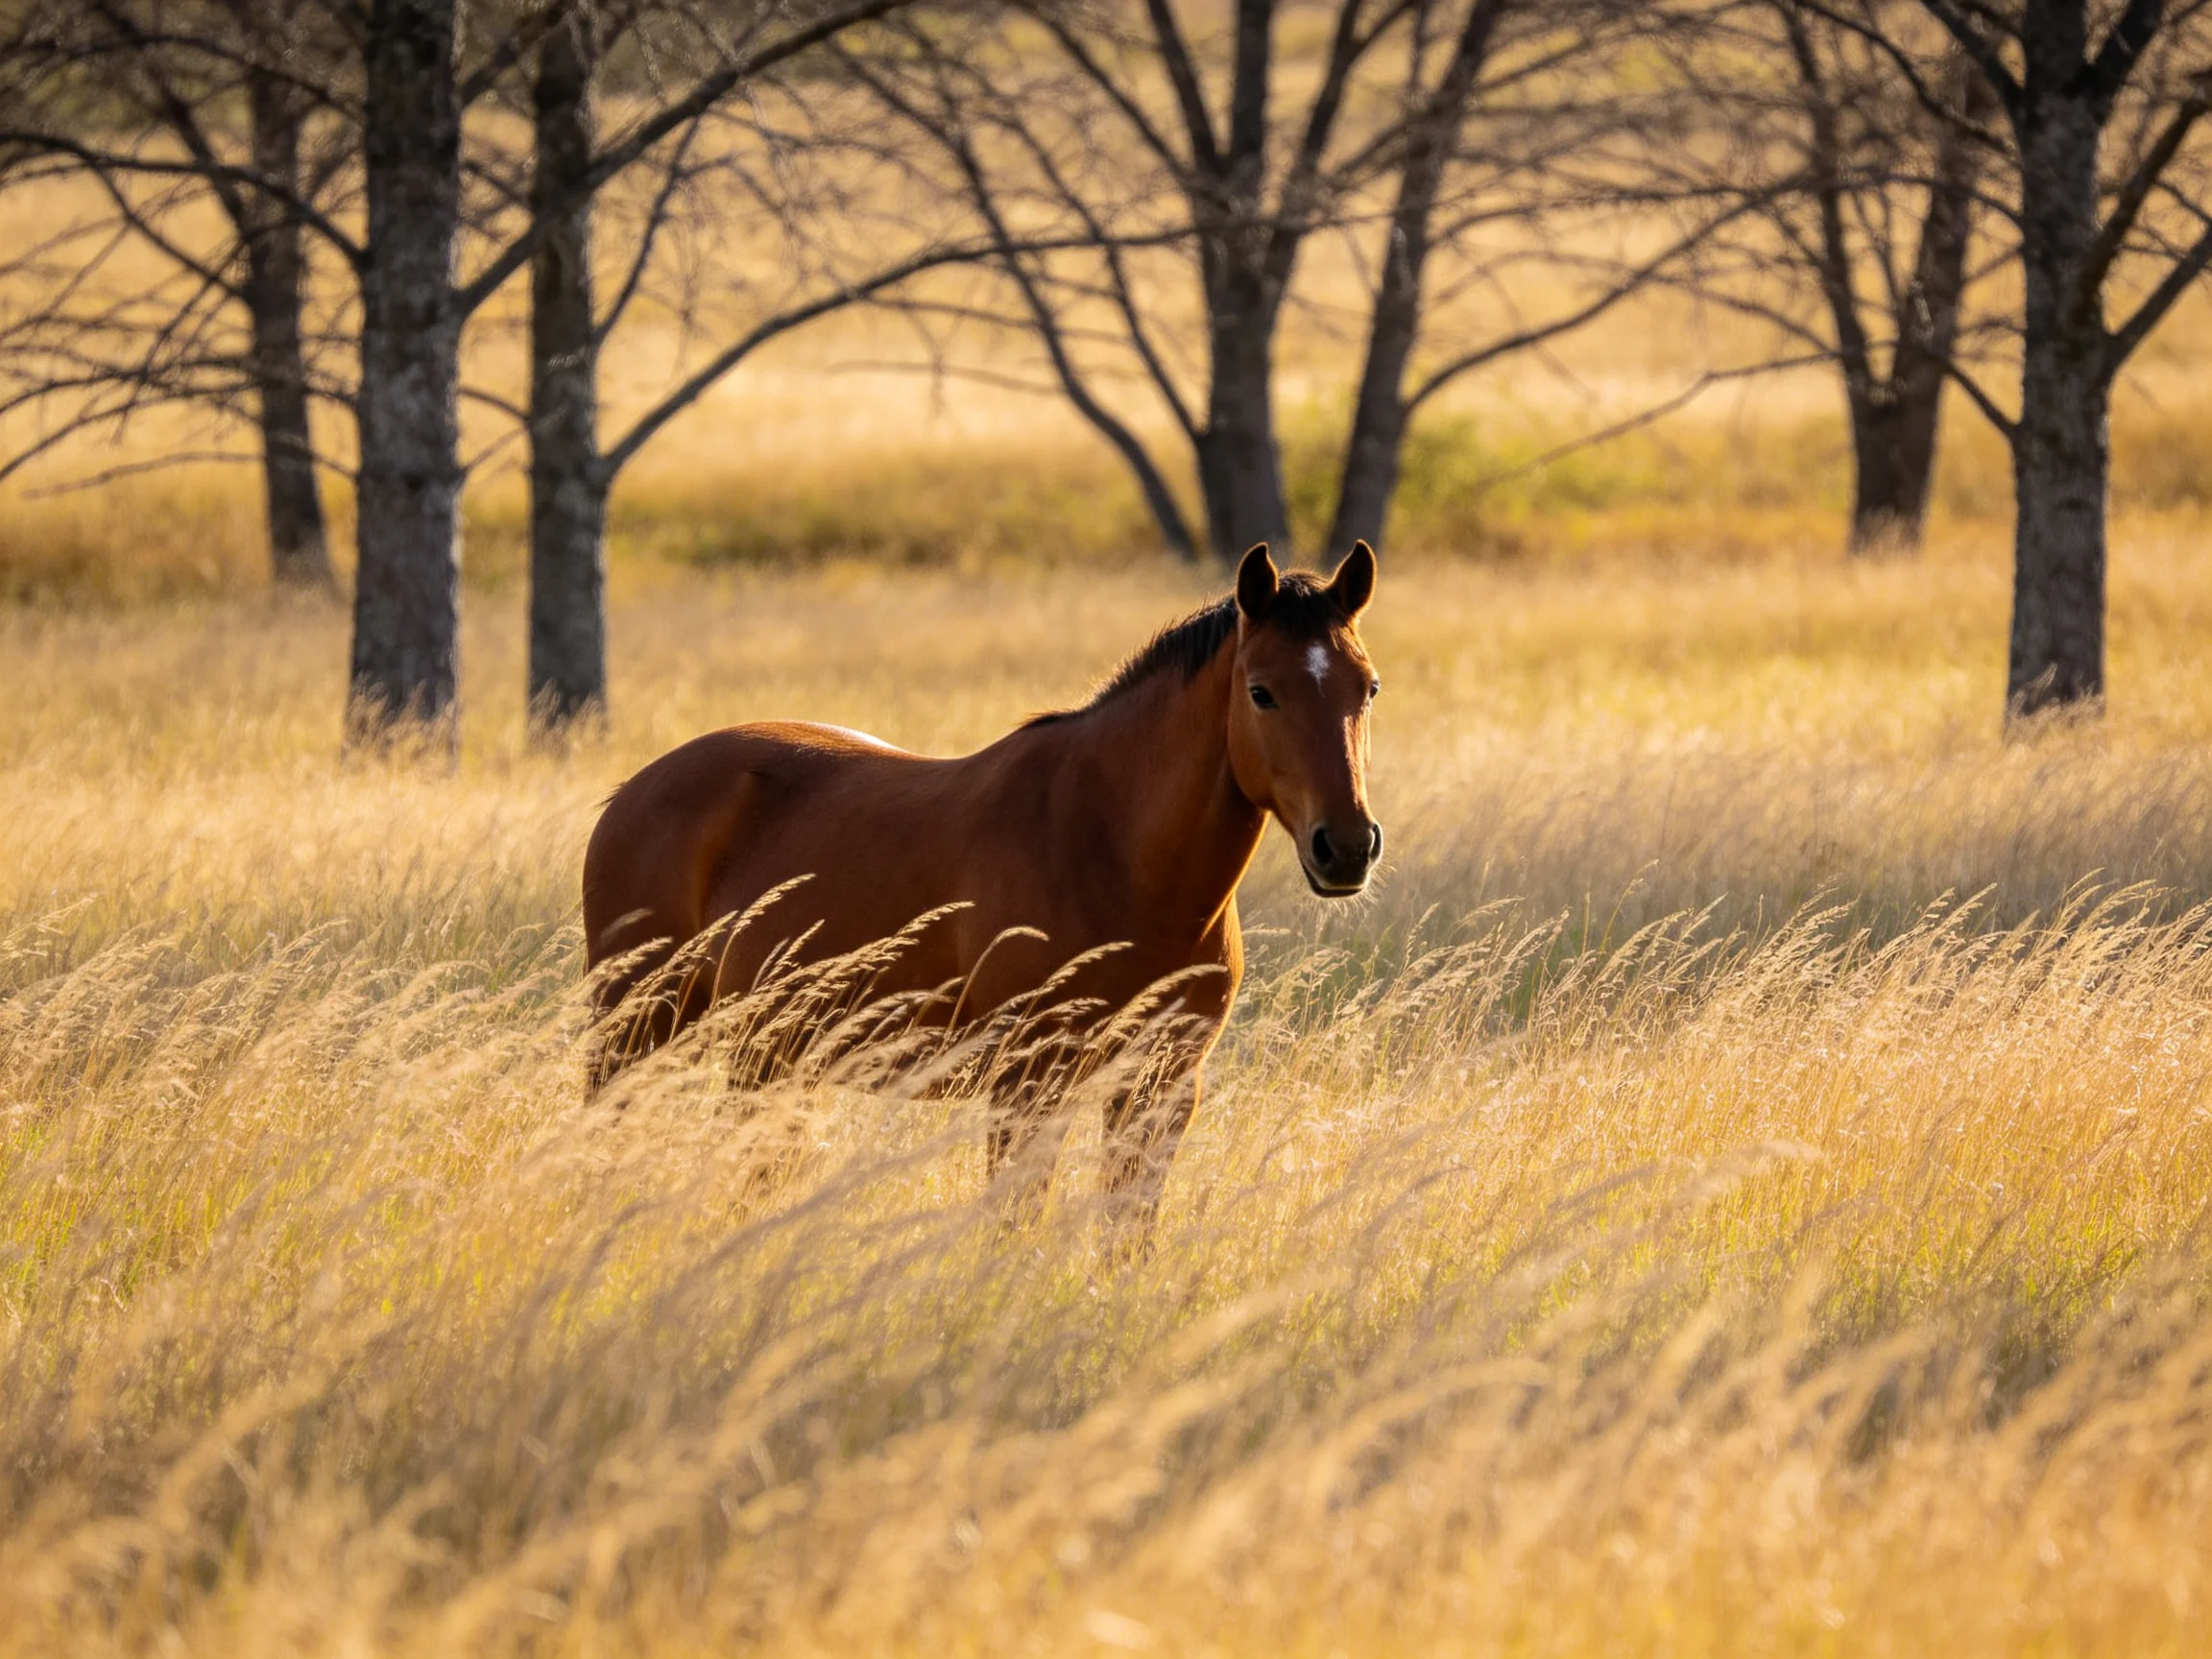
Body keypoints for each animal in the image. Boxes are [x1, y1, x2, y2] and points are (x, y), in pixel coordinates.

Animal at [581, 542, 1384, 1231]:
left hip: (766, 1059)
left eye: (1367, 687)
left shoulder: (1160, 1086)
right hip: (634, 1035)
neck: (1115, 852)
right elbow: (1013, 1225)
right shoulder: (1027, 1084)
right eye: (1261, 692)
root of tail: (631, 792)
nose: (1346, 847)